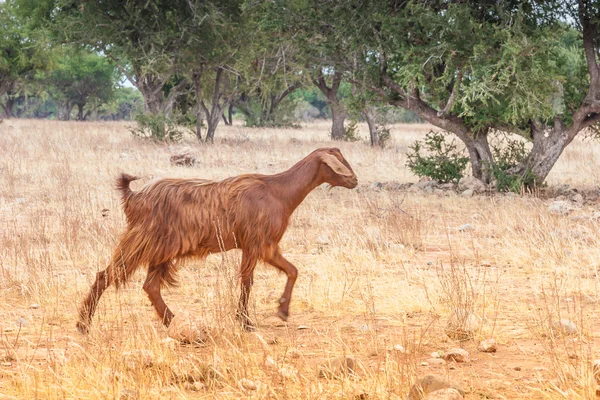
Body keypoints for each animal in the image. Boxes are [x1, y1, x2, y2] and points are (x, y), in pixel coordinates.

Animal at [75, 146, 356, 332]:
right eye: (338, 161)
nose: (354, 180)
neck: (278, 191)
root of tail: (134, 198)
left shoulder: (262, 246)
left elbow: (292, 271)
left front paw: (282, 310)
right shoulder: (258, 244)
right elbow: (248, 282)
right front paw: (246, 321)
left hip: (160, 251)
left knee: (150, 286)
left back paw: (171, 320)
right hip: (143, 243)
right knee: (105, 276)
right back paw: (82, 324)